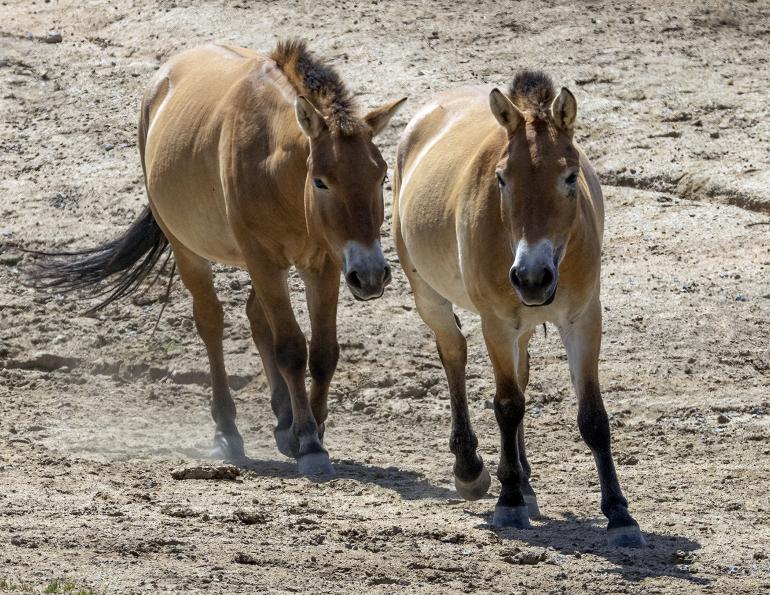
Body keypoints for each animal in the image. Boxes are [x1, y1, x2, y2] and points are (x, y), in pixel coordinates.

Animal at [31, 40, 406, 477]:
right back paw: (228, 431)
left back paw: (283, 420)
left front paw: (310, 429)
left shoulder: (323, 264)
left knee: (256, 318)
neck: (273, 162)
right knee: (211, 322)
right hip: (189, 250)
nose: (372, 275)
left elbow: (323, 353)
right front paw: (310, 443)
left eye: (381, 176)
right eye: (321, 181)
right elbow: (292, 349)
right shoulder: (264, 260)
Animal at [392, 71, 644, 547]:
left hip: (525, 325)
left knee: (519, 373)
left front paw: (620, 515)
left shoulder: (584, 319)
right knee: (454, 352)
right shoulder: (497, 324)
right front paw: (507, 502)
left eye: (570, 176)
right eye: (502, 179)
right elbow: (508, 404)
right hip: (429, 297)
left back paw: (525, 482)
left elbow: (593, 417)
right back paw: (472, 470)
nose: (531, 277)